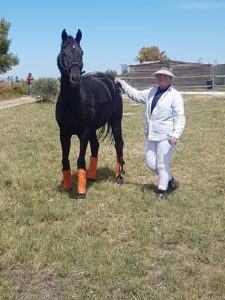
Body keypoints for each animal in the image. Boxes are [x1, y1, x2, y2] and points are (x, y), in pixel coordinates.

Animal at [55, 28, 125, 199]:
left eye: (81, 53)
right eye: (64, 52)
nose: (75, 79)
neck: (71, 102)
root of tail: (111, 80)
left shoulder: (84, 132)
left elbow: (80, 160)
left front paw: (81, 193)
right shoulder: (64, 132)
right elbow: (65, 159)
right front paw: (68, 186)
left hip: (115, 121)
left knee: (119, 144)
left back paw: (119, 177)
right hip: (94, 128)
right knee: (96, 146)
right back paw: (91, 177)